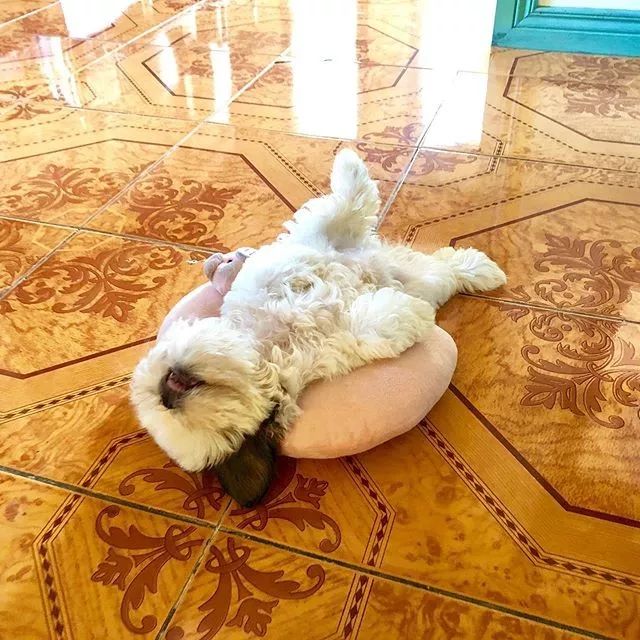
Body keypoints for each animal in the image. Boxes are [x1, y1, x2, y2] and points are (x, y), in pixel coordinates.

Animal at [131, 149, 506, 507]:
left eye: (173, 383)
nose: (170, 389)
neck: (270, 344)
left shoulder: (298, 253)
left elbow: (339, 210)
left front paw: (349, 163)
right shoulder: (338, 343)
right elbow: (376, 329)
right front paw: (410, 311)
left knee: (440, 268)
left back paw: (482, 270)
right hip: (417, 277)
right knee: (437, 274)